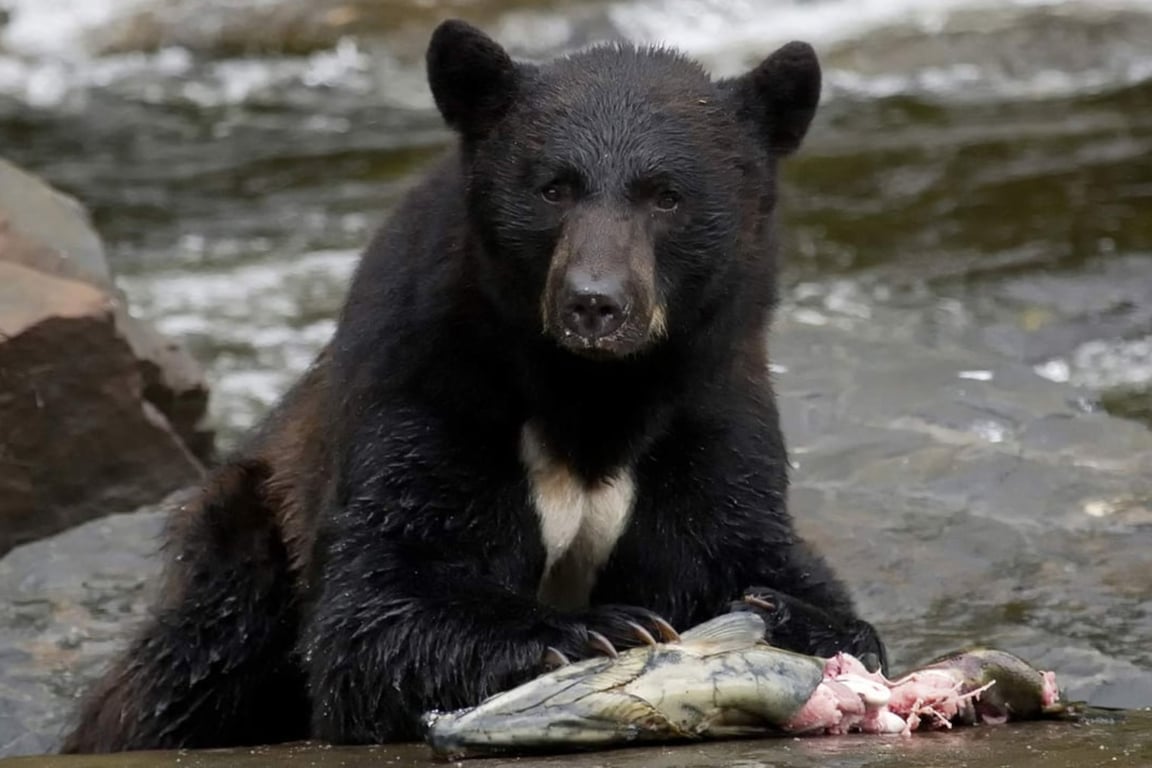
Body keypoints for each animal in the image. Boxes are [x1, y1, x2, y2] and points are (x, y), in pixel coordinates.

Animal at [60, 19, 887, 753]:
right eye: (555, 188)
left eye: (666, 195)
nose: (595, 303)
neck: (593, 395)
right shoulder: (431, 386)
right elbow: (381, 598)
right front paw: (596, 629)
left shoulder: (708, 406)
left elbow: (748, 543)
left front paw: (791, 614)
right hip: (246, 533)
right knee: (192, 663)